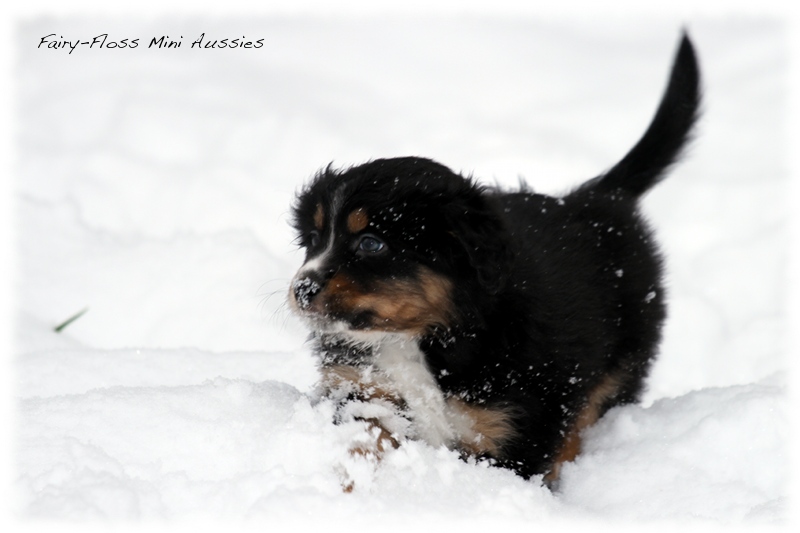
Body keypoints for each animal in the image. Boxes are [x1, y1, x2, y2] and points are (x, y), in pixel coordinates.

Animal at [288, 31, 700, 484]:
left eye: (371, 244)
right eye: (314, 238)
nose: (301, 289)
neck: (419, 337)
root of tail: (595, 197)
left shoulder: (511, 426)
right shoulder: (366, 394)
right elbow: (361, 445)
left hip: (621, 363)